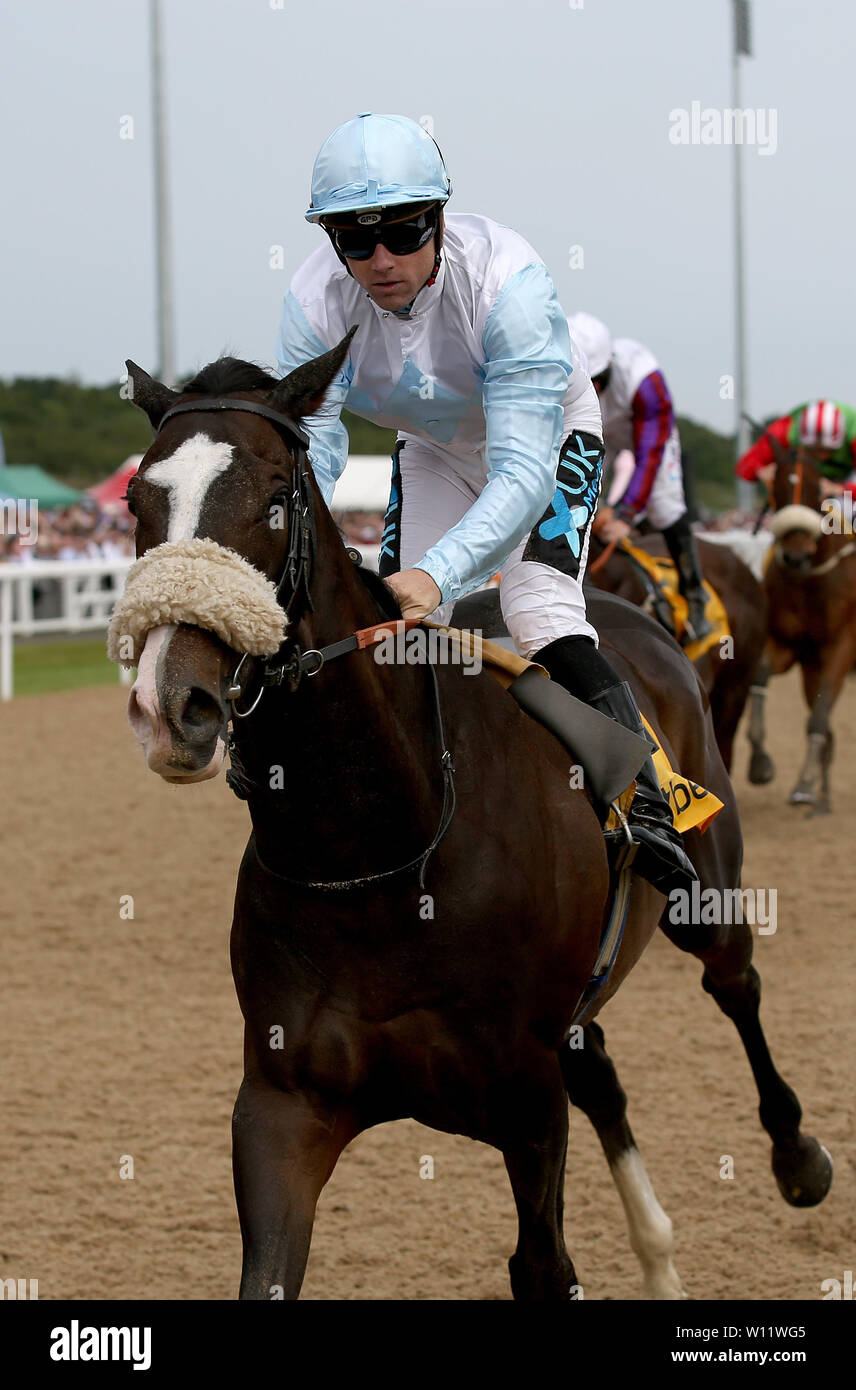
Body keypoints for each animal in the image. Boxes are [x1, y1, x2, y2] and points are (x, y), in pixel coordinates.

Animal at [744, 444, 856, 811]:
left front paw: (805, 783)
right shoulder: (785, 644)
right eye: (776, 488)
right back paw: (823, 795)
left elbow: (819, 717)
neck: (810, 581)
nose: (795, 556)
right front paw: (760, 763)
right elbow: (760, 676)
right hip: (810, 670)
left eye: (816, 488)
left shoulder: (842, 647)